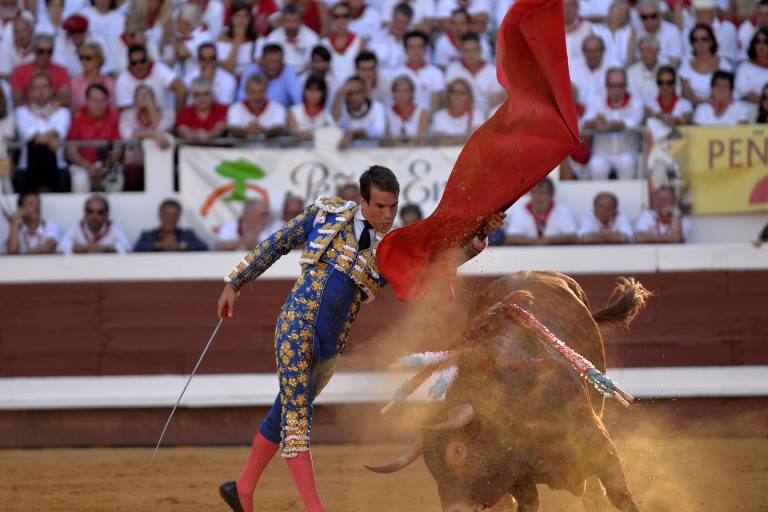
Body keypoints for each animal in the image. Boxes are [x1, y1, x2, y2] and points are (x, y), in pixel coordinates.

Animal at [364, 270, 648, 510]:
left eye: (458, 451)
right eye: (431, 466)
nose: (456, 509)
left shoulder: (599, 446)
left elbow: (620, 496)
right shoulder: (517, 479)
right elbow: (526, 502)